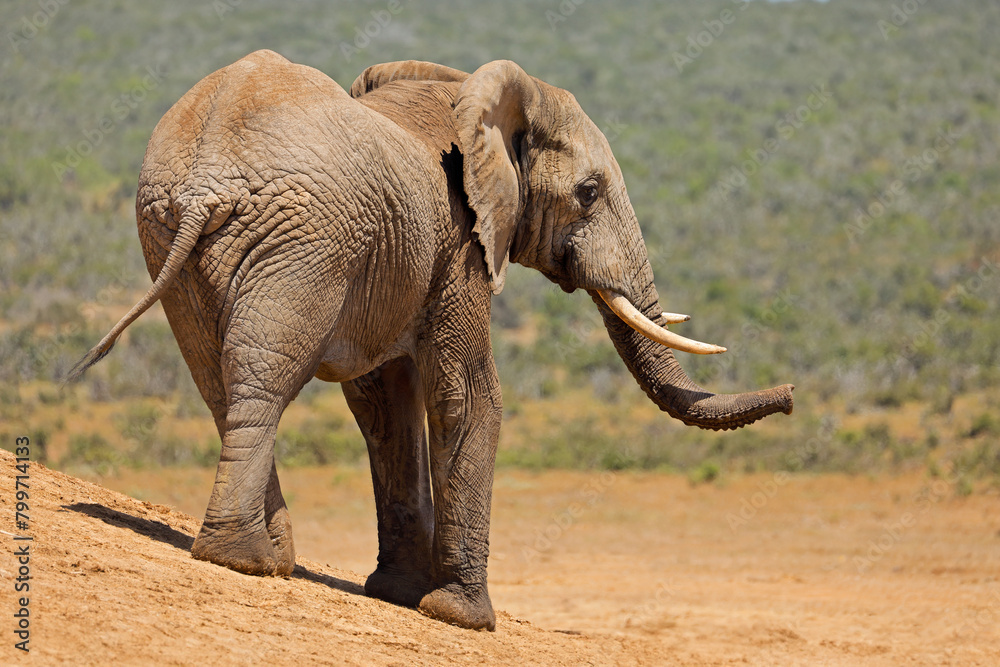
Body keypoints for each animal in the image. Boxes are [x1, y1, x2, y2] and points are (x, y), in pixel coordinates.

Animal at [70, 50, 793, 631]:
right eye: (589, 192)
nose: (790, 395)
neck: (475, 92)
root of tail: (205, 175)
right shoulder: (462, 238)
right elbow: (465, 396)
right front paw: (462, 616)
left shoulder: (398, 260)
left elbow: (385, 403)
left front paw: (397, 594)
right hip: (299, 241)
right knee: (262, 376)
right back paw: (242, 558)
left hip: (181, 230)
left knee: (218, 379)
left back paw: (266, 556)